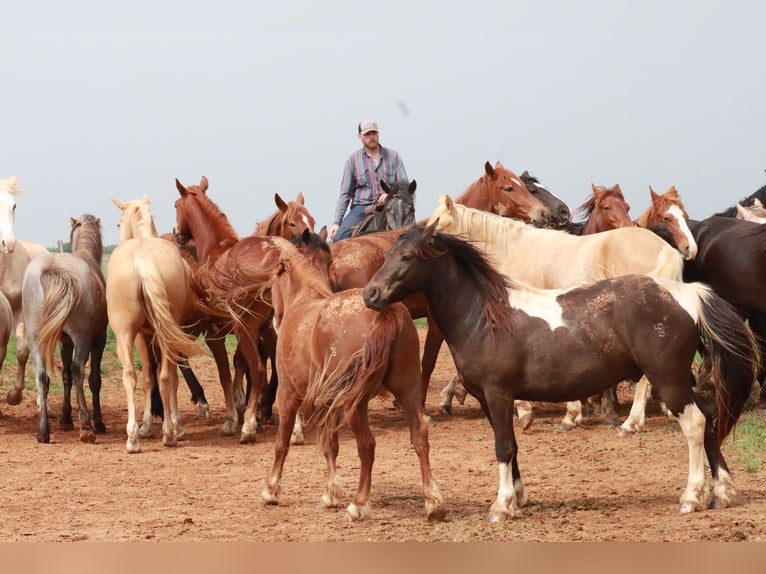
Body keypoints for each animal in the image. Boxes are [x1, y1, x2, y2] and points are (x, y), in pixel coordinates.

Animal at [21, 214, 108, 443]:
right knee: (79, 370)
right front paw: (98, 422)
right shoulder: (98, 339)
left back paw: (43, 431)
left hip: (36, 337)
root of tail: (52, 268)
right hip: (82, 338)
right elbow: (93, 379)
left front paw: (65, 419)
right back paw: (86, 426)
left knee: (42, 375)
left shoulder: (64, 341)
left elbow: (65, 375)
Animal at [107, 196, 204, 452]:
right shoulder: (152, 336)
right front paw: (173, 426)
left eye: (118, 223)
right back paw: (167, 434)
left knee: (133, 376)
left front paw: (149, 426)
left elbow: (149, 378)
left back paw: (134, 438)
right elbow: (164, 378)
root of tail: (143, 258)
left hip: (126, 334)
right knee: (164, 376)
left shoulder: (143, 336)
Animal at [260, 237, 445, 522]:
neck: (306, 301)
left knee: (367, 445)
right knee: (419, 436)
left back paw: (359, 504)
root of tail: (387, 311)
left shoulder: (288, 394)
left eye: (272, 282)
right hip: (408, 392)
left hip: (356, 404)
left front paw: (271, 491)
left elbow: (282, 444)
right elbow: (330, 445)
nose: (274, 322)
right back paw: (433, 502)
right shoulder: (328, 403)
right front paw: (330, 494)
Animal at [363, 223, 758, 520]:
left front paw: (501, 506)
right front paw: (518, 497)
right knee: (709, 421)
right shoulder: (490, 400)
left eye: (408, 257)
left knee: (694, 424)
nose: (371, 294)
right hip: (681, 382)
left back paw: (691, 497)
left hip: (669, 379)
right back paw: (722, 492)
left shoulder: (498, 393)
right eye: (386, 255)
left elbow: (503, 447)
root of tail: (686, 294)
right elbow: (512, 444)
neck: (486, 316)